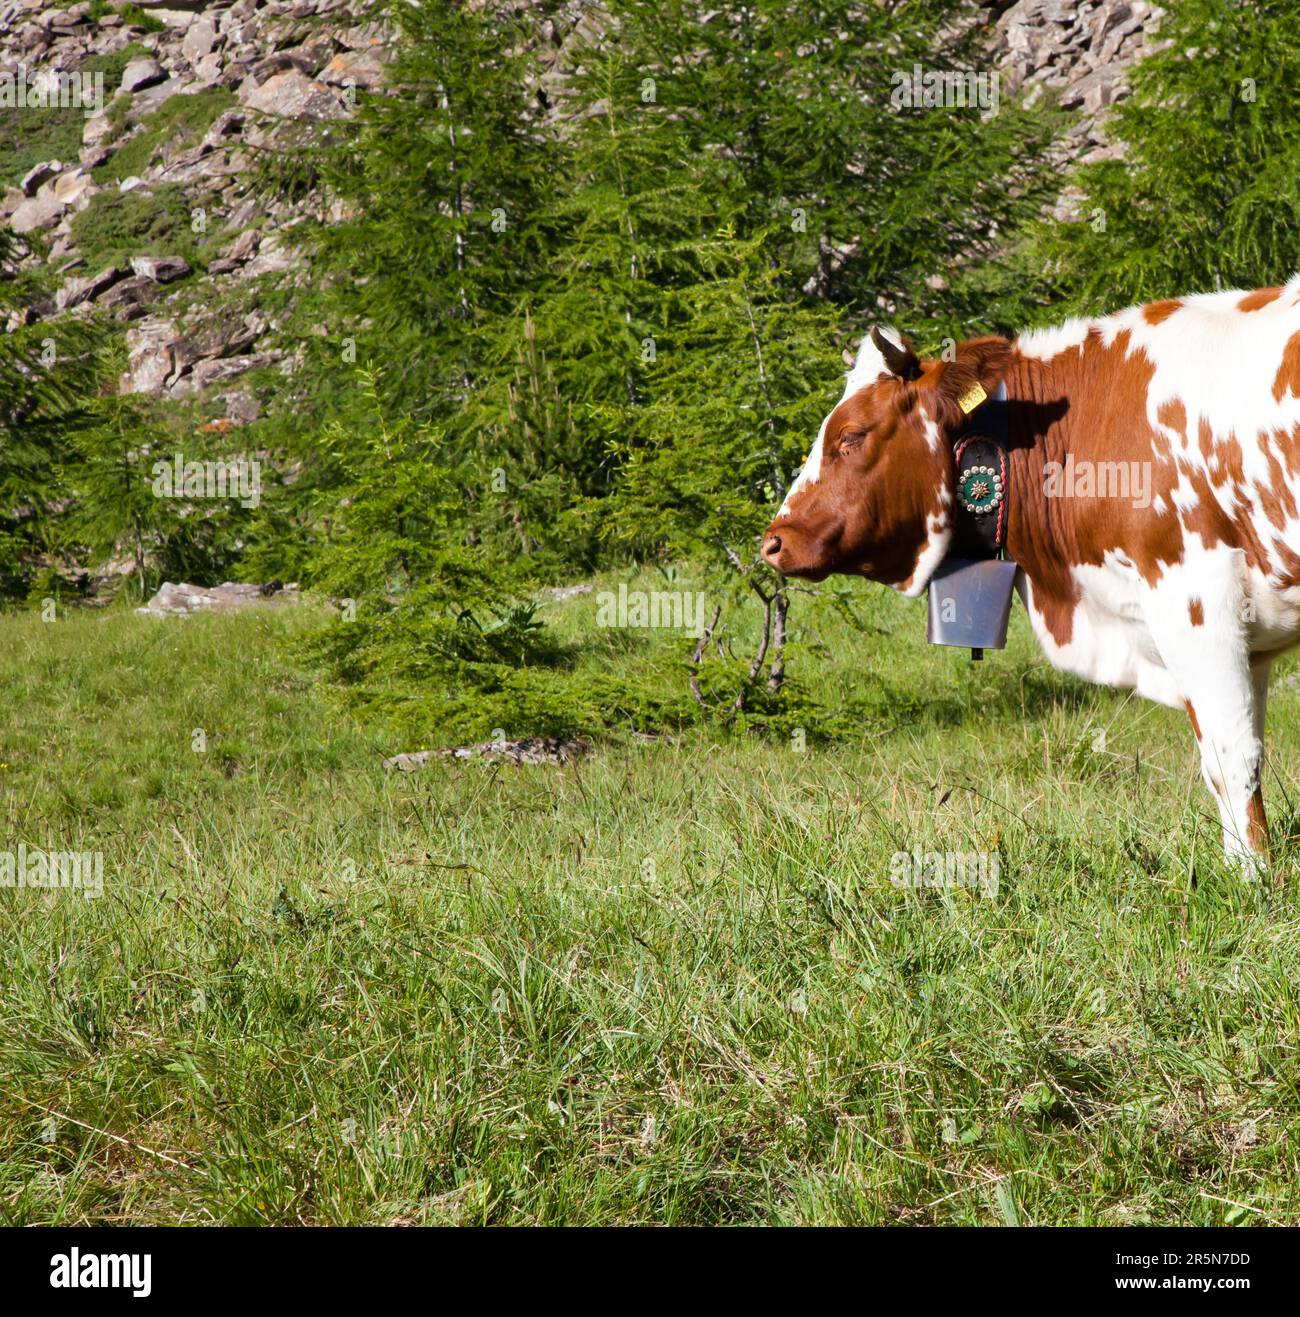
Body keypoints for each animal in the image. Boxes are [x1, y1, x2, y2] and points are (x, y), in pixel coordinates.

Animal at [761, 279, 1300, 870]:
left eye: (852, 436)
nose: (774, 541)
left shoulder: (1195, 599)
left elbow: (1230, 756)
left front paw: (1252, 879)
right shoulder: (1251, 643)